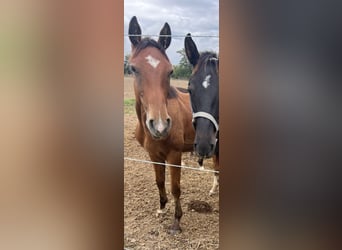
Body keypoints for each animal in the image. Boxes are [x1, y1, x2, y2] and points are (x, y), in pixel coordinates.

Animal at [127, 16, 195, 235]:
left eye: (170, 71)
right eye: (133, 68)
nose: (159, 126)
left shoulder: (174, 155)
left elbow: (175, 187)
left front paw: (176, 221)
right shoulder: (153, 154)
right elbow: (159, 181)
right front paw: (161, 208)